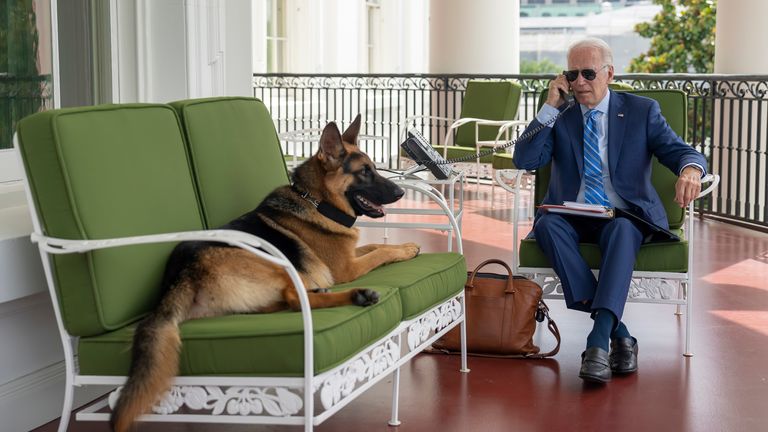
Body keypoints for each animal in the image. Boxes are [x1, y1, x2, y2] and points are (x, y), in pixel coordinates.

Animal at [111, 115, 416, 432]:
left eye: (373, 168)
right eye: (364, 172)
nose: (401, 193)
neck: (318, 202)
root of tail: (180, 273)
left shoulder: (351, 256)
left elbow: (373, 246)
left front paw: (402, 245)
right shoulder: (346, 268)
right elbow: (380, 252)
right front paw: (407, 249)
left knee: (283, 302)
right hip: (275, 264)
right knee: (293, 297)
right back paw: (357, 295)